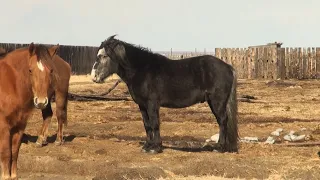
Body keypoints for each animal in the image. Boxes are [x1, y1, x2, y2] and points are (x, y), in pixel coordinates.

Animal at [0, 44, 70, 180]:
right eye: (30, 70)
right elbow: (6, 152)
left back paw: (57, 140)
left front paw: (12, 176)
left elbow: (14, 151)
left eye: (51, 70)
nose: (41, 101)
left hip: (59, 95)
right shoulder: (5, 126)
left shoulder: (20, 125)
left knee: (58, 115)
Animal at [91, 34, 239, 153]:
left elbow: (155, 123)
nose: (94, 77)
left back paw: (219, 147)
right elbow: (147, 125)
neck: (142, 70)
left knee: (222, 121)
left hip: (217, 102)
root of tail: (228, 67)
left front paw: (155, 148)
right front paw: (147, 146)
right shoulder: (142, 105)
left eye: (104, 56)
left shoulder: (152, 104)